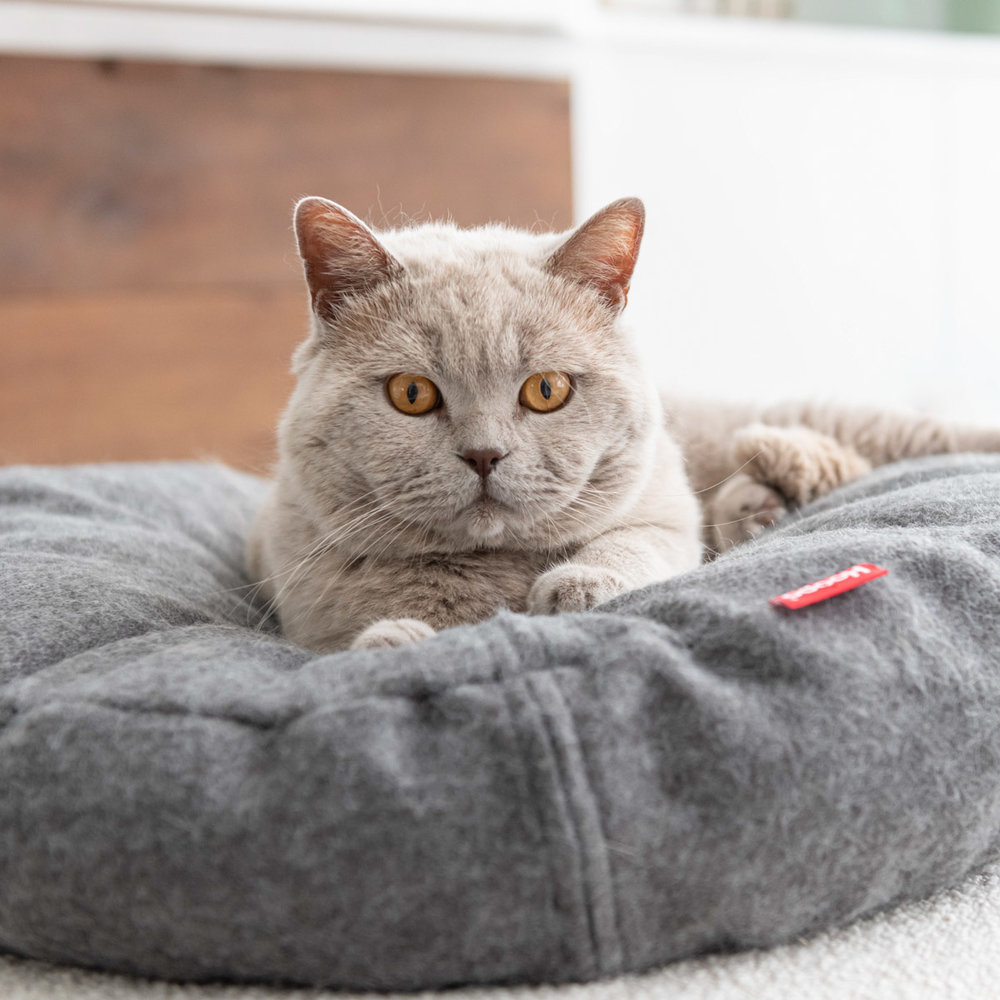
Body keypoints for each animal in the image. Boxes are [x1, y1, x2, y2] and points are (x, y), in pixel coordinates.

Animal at [248, 196, 1000, 652]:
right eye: (411, 394)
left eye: (546, 390)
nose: (485, 455)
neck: (495, 570)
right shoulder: (298, 589)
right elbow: (358, 634)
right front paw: (395, 640)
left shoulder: (664, 512)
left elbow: (631, 543)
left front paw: (578, 587)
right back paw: (760, 503)